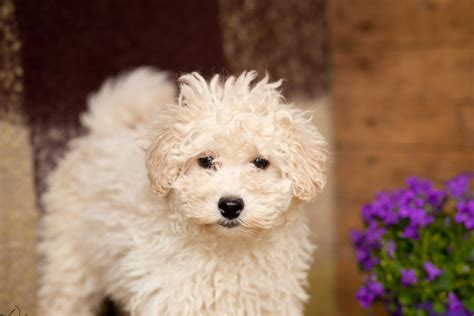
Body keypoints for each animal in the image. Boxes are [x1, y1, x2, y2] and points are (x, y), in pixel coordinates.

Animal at [38, 68, 326, 316]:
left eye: (260, 162)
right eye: (206, 160)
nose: (230, 206)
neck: (227, 249)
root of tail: (104, 132)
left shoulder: (272, 300)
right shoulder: (173, 297)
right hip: (69, 259)